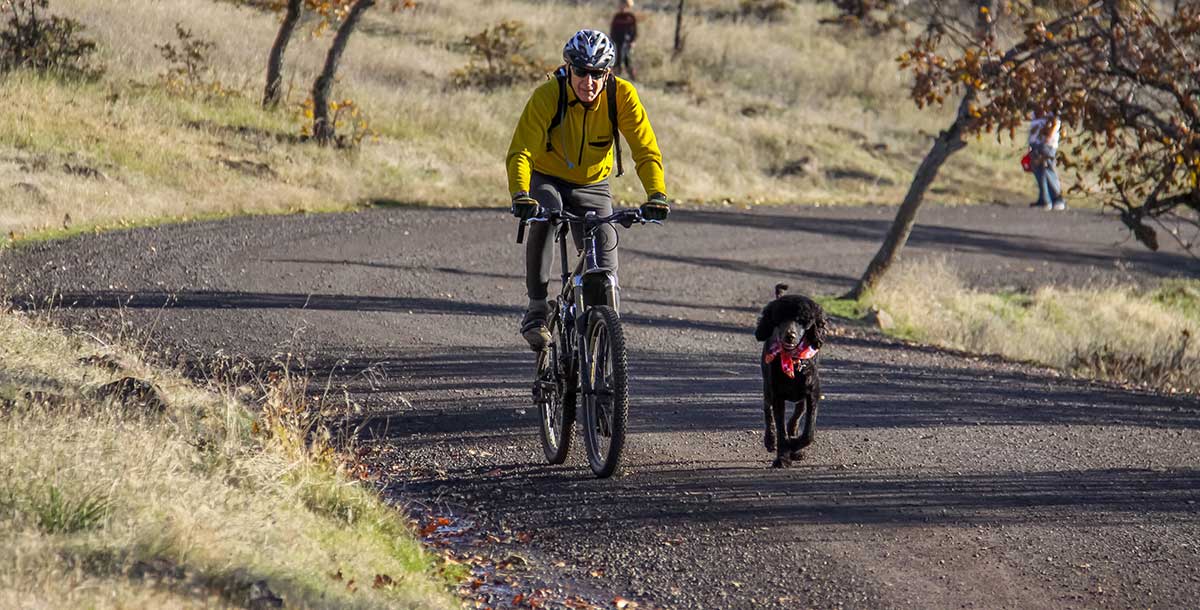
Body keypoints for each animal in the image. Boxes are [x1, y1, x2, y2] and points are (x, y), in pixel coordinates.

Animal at [753, 284, 830, 465]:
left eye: (802, 320)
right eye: (780, 319)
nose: (790, 335)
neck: (793, 360)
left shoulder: (813, 393)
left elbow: (808, 432)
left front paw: (794, 445)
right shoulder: (777, 396)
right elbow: (780, 428)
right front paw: (782, 456)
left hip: (801, 395)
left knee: (798, 413)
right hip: (768, 388)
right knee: (767, 410)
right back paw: (770, 440)